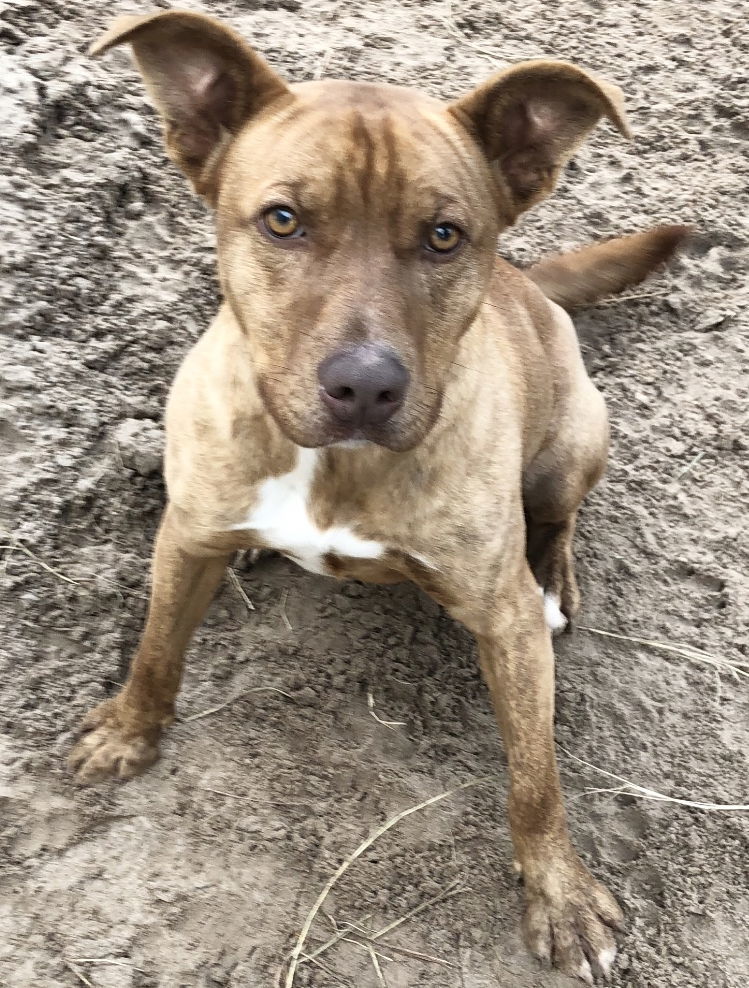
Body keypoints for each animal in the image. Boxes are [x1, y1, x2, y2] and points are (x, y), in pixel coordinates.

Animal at [70, 11, 684, 984]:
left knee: (556, 518)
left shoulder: (503, 622)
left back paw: (555, 574)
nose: (364, 385)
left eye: (443, 235)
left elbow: (534, 776)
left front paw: (558, 894)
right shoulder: (186, 533)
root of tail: (527, 281)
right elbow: (156, 648)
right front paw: (129, 731)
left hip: (573, 441)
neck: (334, 465)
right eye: (282, 220)